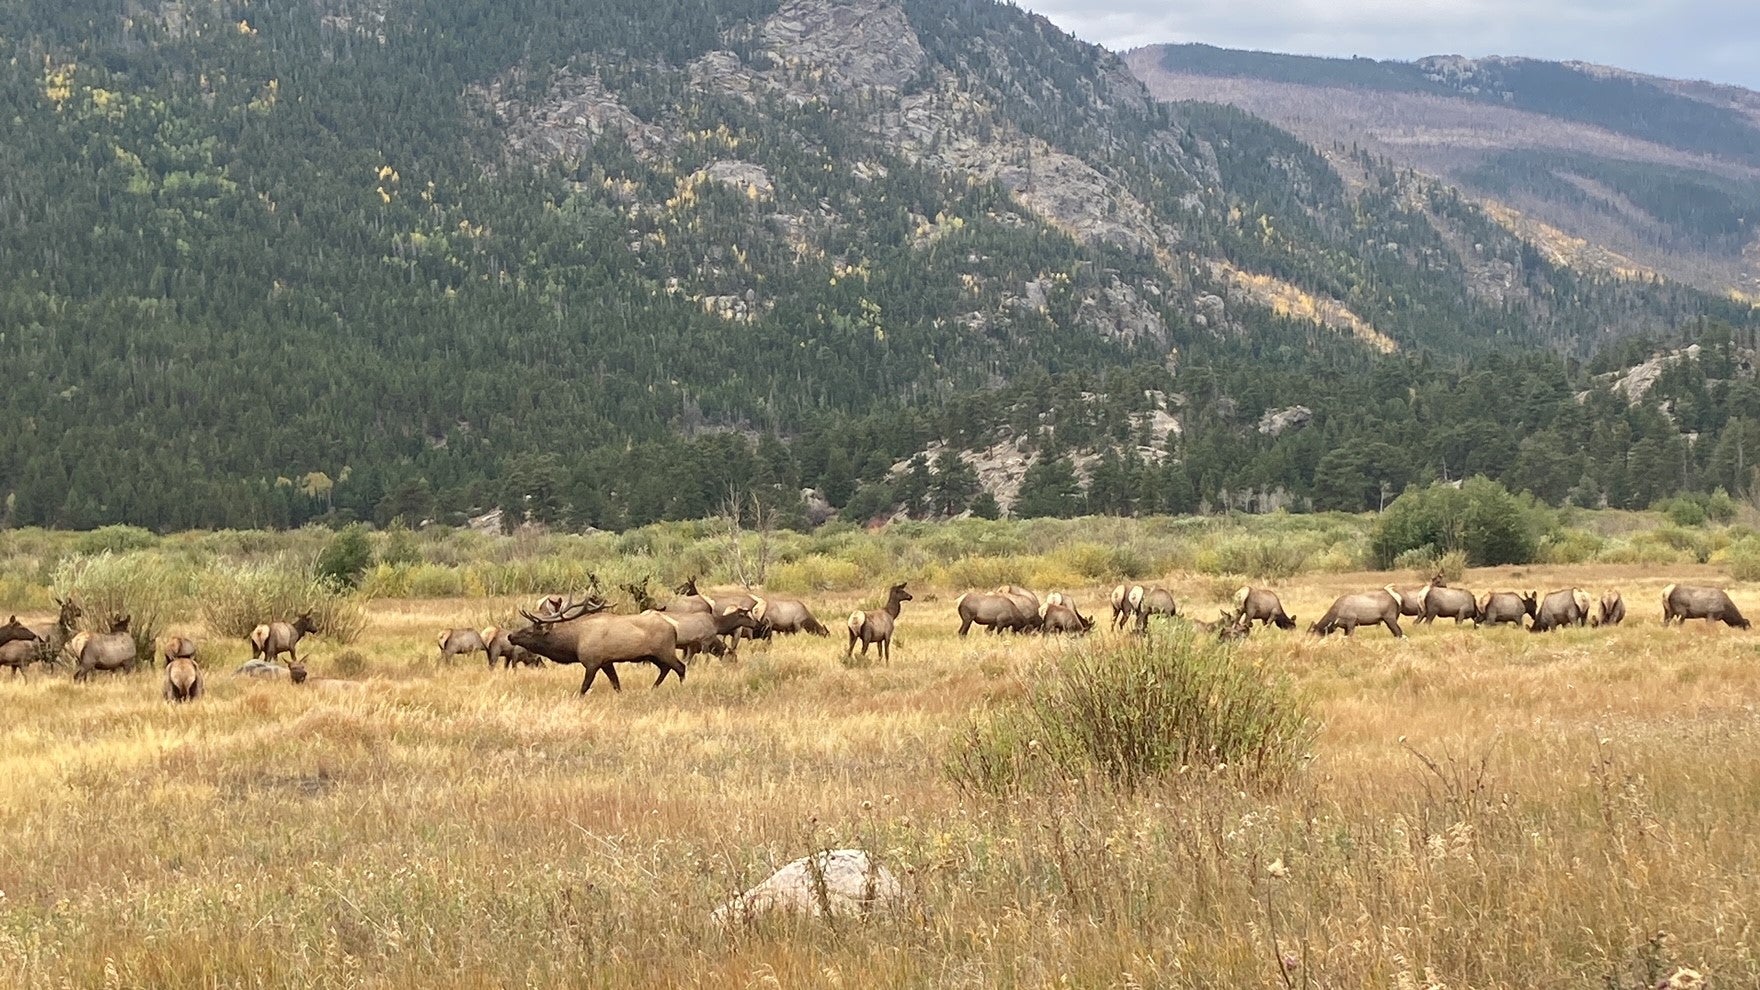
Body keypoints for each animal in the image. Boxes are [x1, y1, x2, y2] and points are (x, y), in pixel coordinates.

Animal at [510, 591, 686, 694]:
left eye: (529, 632)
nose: (510, 636)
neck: (575, 643)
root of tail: (674, 627)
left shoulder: (592, 662)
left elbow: (584, 687)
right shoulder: (606, 662)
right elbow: (616, 684)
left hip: (664, 650)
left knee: (680, 667)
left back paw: (680, 687)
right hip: (653, 655)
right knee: (665, 668)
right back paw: (652, 688)